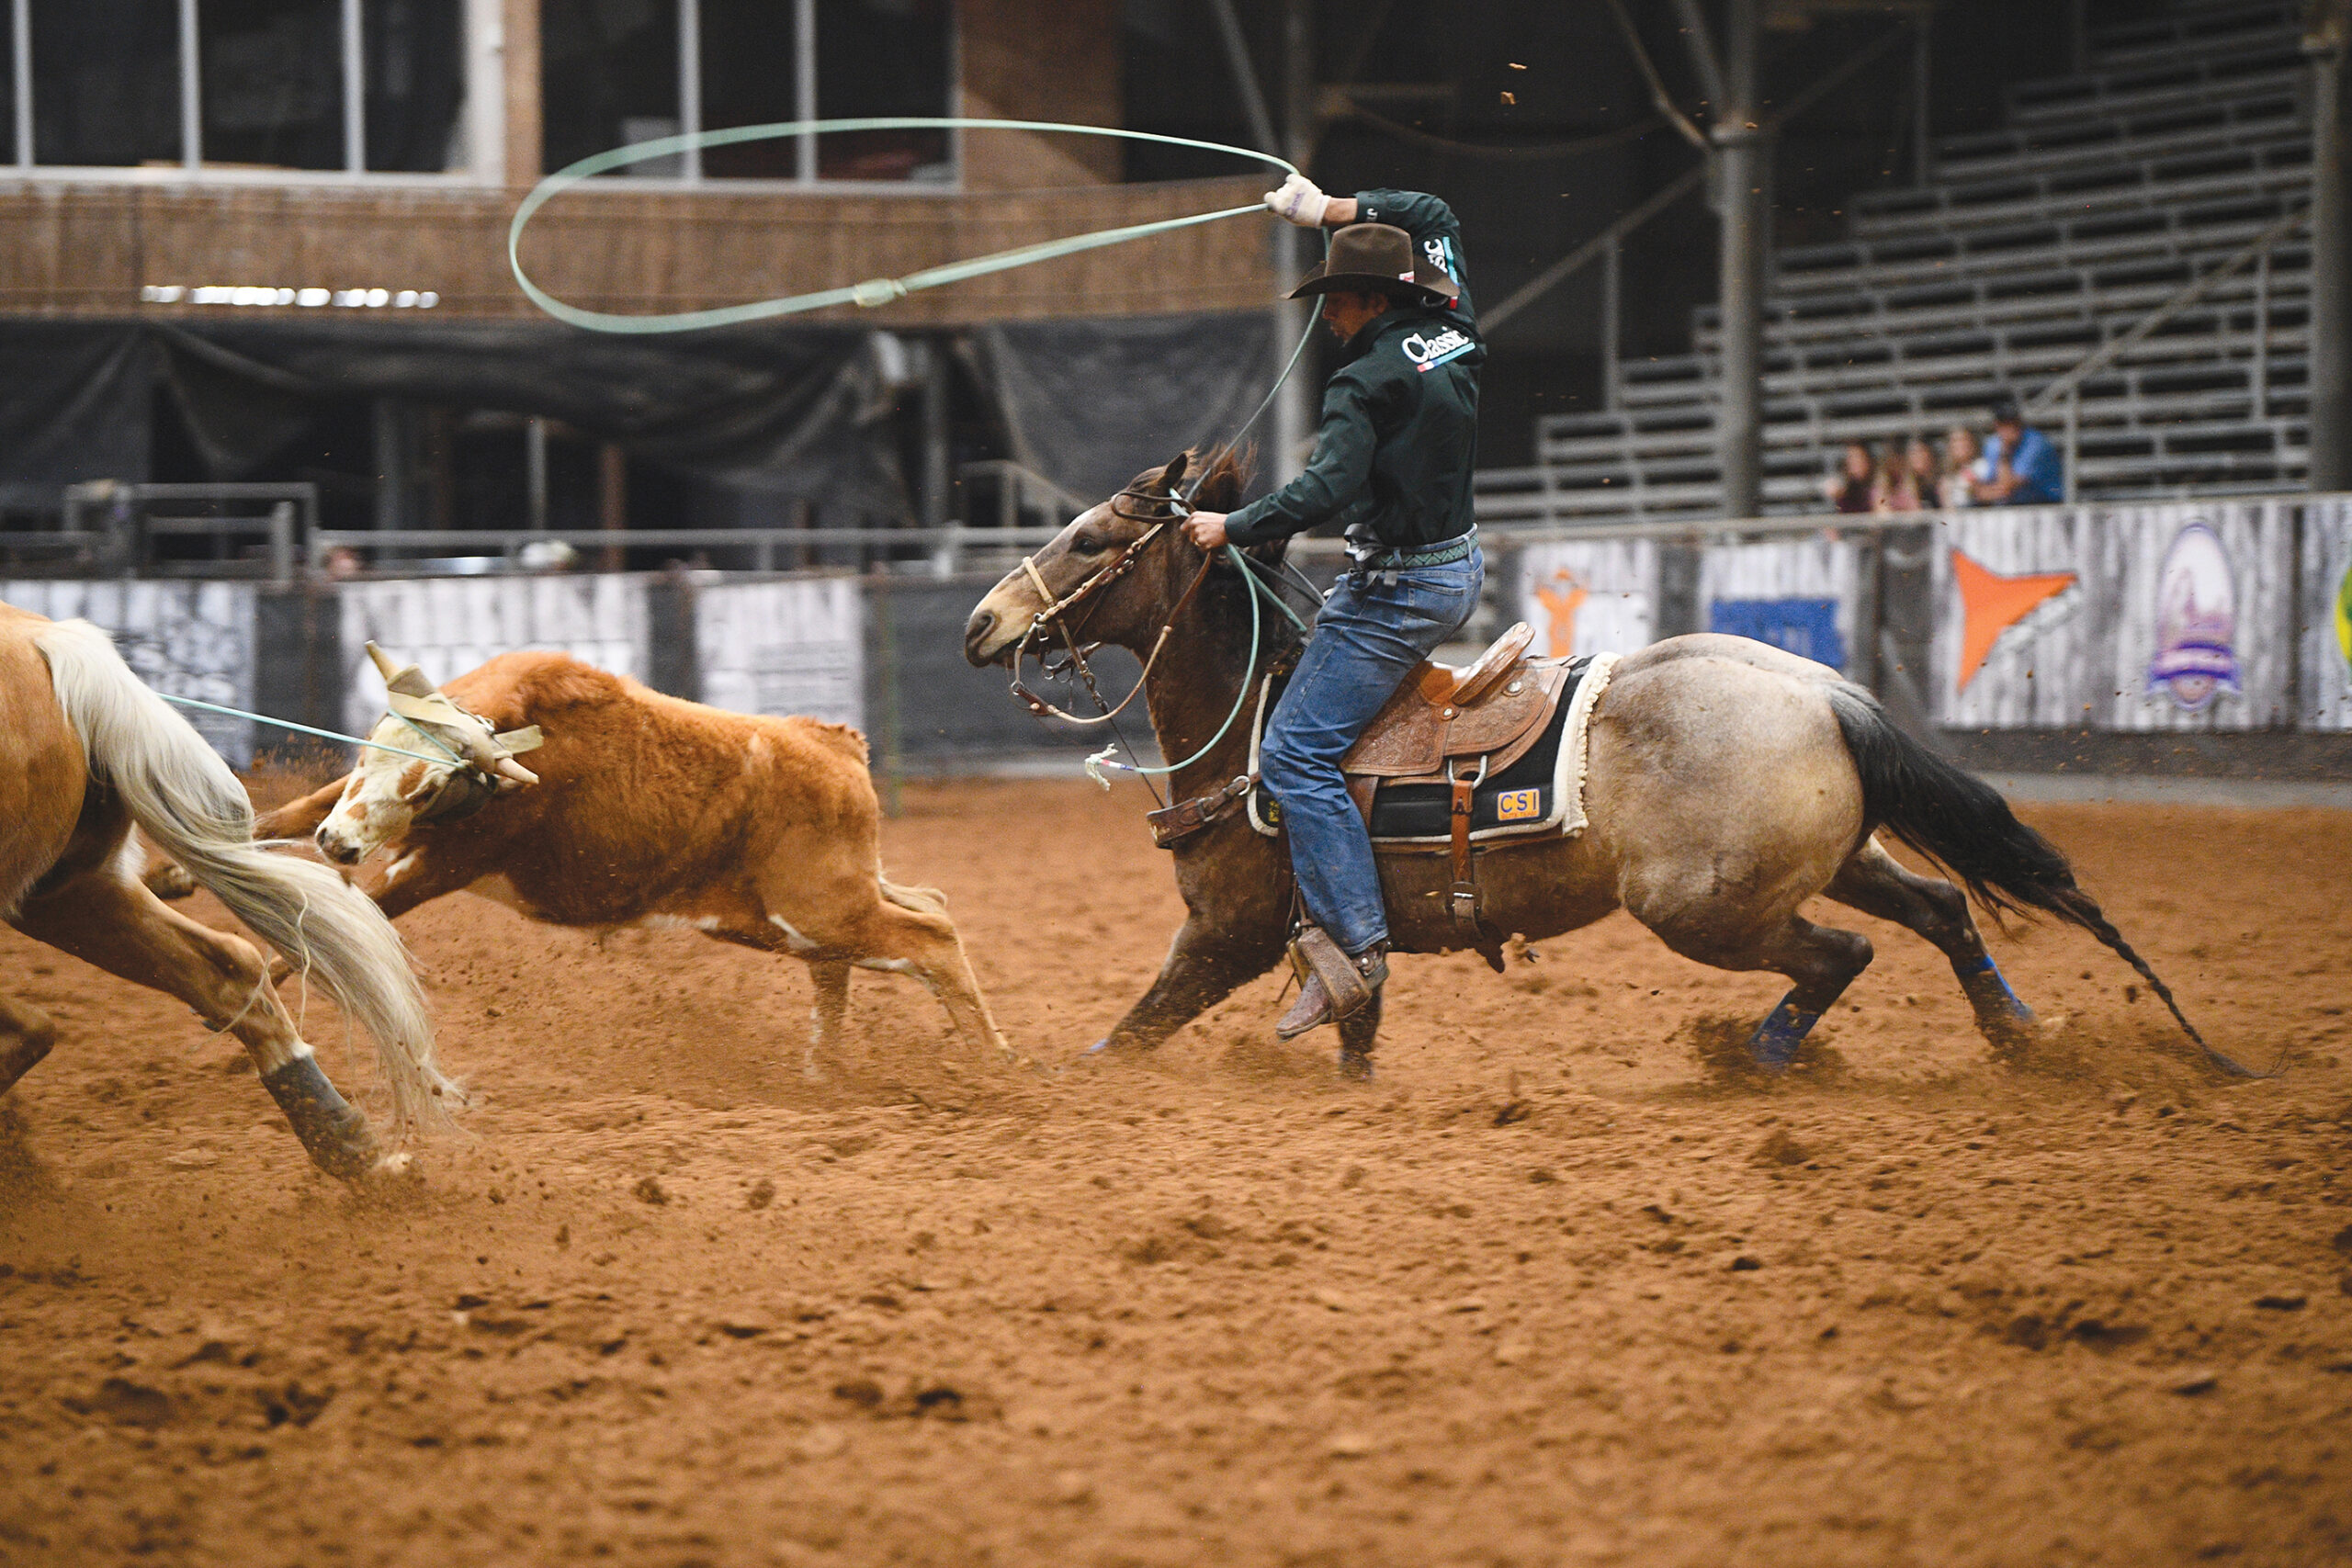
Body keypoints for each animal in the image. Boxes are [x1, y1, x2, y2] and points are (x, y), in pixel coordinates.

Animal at [221, 644, 1021, 1072]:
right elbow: (277, 819)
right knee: (909, 917)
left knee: (930, 938)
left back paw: (994, 1069)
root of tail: (835, 745)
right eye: (367, 752)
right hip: (795, 914)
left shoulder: (441, 865)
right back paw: (822, 1073)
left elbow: (326, 928)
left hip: (822, 907)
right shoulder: (344, 808)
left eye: (426, 787)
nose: (340, 845)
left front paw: (243, 1017)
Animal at [959, 444, 2239, 1081]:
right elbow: (1355, 1024)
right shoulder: (1319, 934)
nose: (978, 623)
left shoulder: (1224, 934)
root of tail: (1822, 692)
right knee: (1938, 909)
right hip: (1832, 857)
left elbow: (1124, 1038)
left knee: (1848, 953)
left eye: (1086, 538)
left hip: (1704, 908)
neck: (1259, 711)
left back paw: (1751, 1058)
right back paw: (2016, 1038)